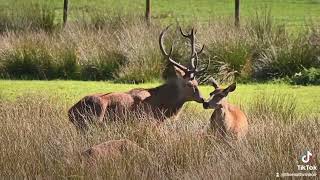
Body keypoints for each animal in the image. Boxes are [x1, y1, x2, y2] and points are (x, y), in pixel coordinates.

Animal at [68, 26, 209, 131]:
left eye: (197, 82)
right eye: (189, 84)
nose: (203, 99)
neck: (161, 108)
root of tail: (70, 112)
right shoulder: (146, 121)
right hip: (94, 121)